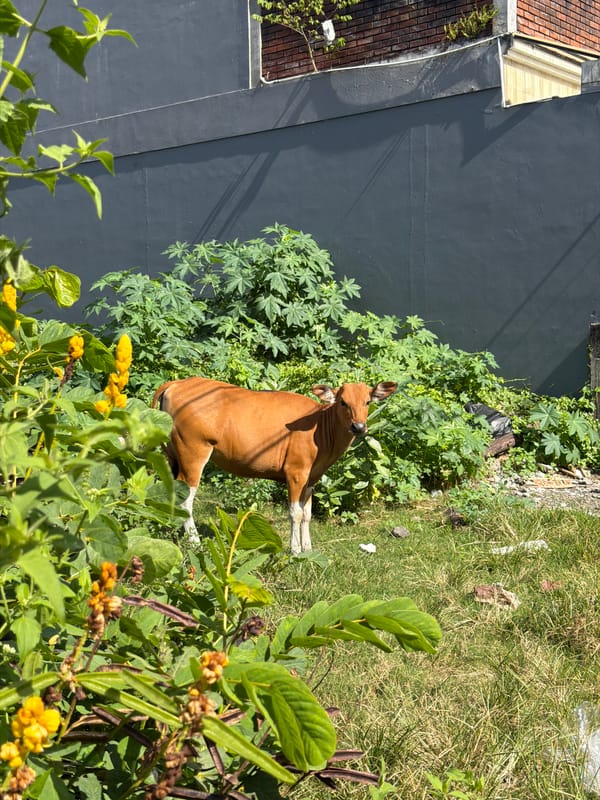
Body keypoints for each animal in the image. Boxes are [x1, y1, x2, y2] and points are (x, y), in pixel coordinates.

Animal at [152, 378, 397, 554]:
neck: (319, 428)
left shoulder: (312, 477)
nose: (359, 427)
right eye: (343, 402)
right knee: (186, 499)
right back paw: (194, 541)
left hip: (174, 456)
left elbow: (307, 513)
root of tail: (176, 383)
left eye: (367, 402)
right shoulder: (296, 472)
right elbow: (295, 513)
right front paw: (295, 549)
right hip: (193, 453)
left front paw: (308, 548)